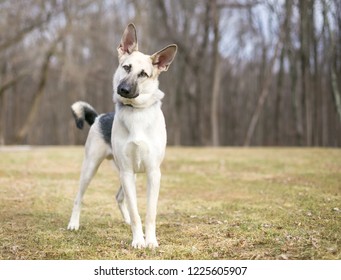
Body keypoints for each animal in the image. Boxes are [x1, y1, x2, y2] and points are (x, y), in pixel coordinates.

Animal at [67, 23, 178, 248]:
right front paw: (138, 241)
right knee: (79, 198)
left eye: (143, 74)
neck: (136, 112)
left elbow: (149, 213)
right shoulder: (126, 172)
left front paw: (150, 240)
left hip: (129, 174)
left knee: (119, 197)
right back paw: (74, 223)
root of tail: (98, 117)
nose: (124, 89)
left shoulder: (153, 173)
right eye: (126, 67)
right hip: (91, 167)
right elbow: (136, 212)